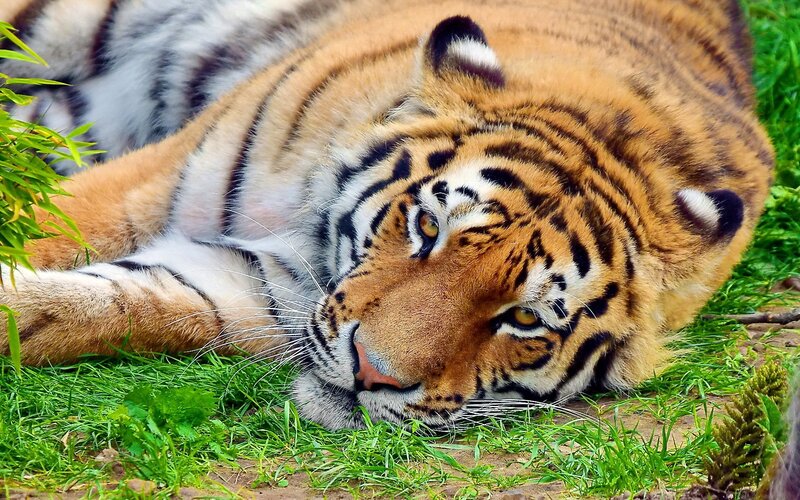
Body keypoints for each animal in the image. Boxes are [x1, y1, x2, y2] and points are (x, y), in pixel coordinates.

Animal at [0, 0, 773, 430]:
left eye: (525, 318)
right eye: (428, 228)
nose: (372, 373)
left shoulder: (251, 287)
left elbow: (113, 304)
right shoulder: (153, 183)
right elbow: (52, 226)